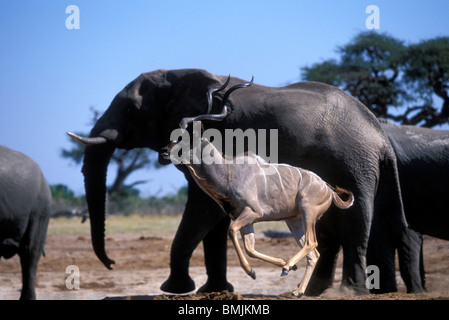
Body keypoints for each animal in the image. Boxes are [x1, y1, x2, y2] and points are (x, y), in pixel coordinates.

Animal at [68, 69, 412, 296]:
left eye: (132, 108)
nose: (164, 152)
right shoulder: (239, 214)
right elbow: (239, 240)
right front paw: (228, 283)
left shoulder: (245, 212)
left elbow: (221, 228)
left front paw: (184, 287)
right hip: (295, 219)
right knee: (316, 248)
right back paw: (300, 287)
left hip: (322, 202)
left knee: (333, 239)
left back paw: (334, 290)